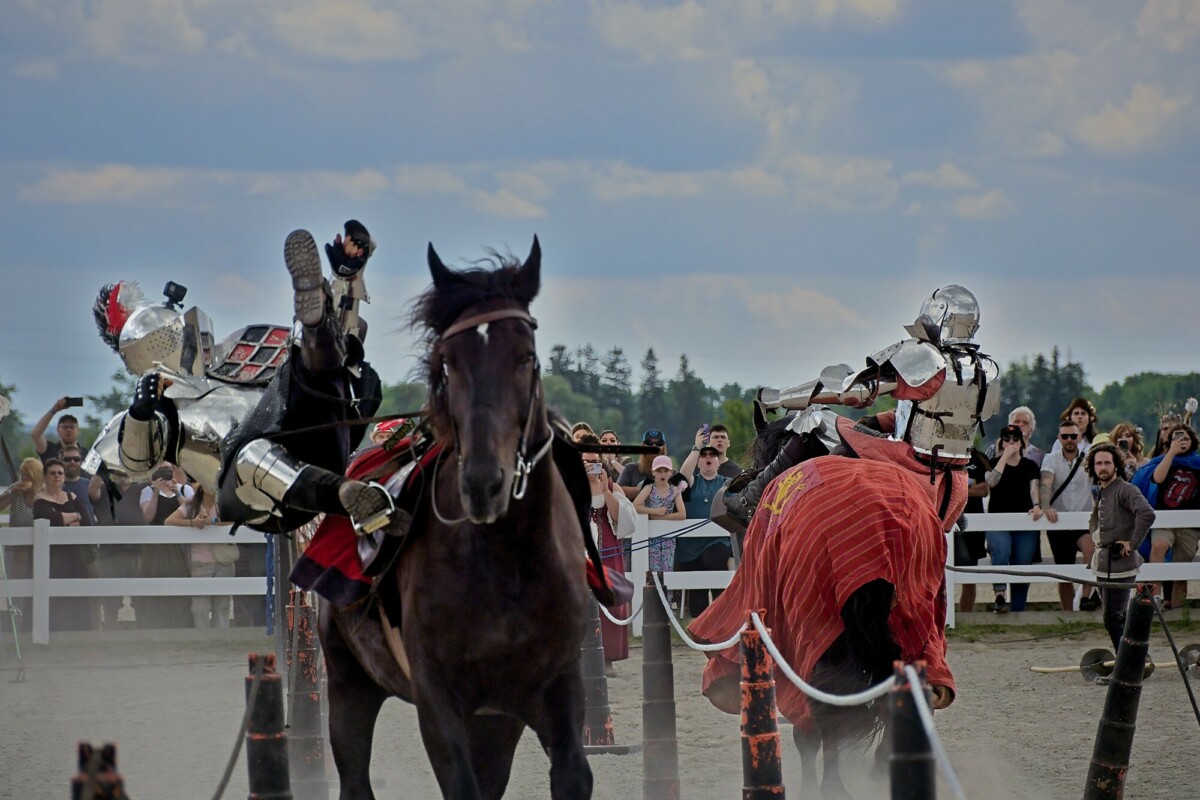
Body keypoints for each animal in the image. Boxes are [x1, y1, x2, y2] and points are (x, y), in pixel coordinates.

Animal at [316, 239, 592, 800]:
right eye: (448, 361)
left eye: (526, 356)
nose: (484, 482)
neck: (508, 562)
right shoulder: (439, 703)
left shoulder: (554, 690)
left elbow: (573, 772)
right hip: (349, 683)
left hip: (497, 723)